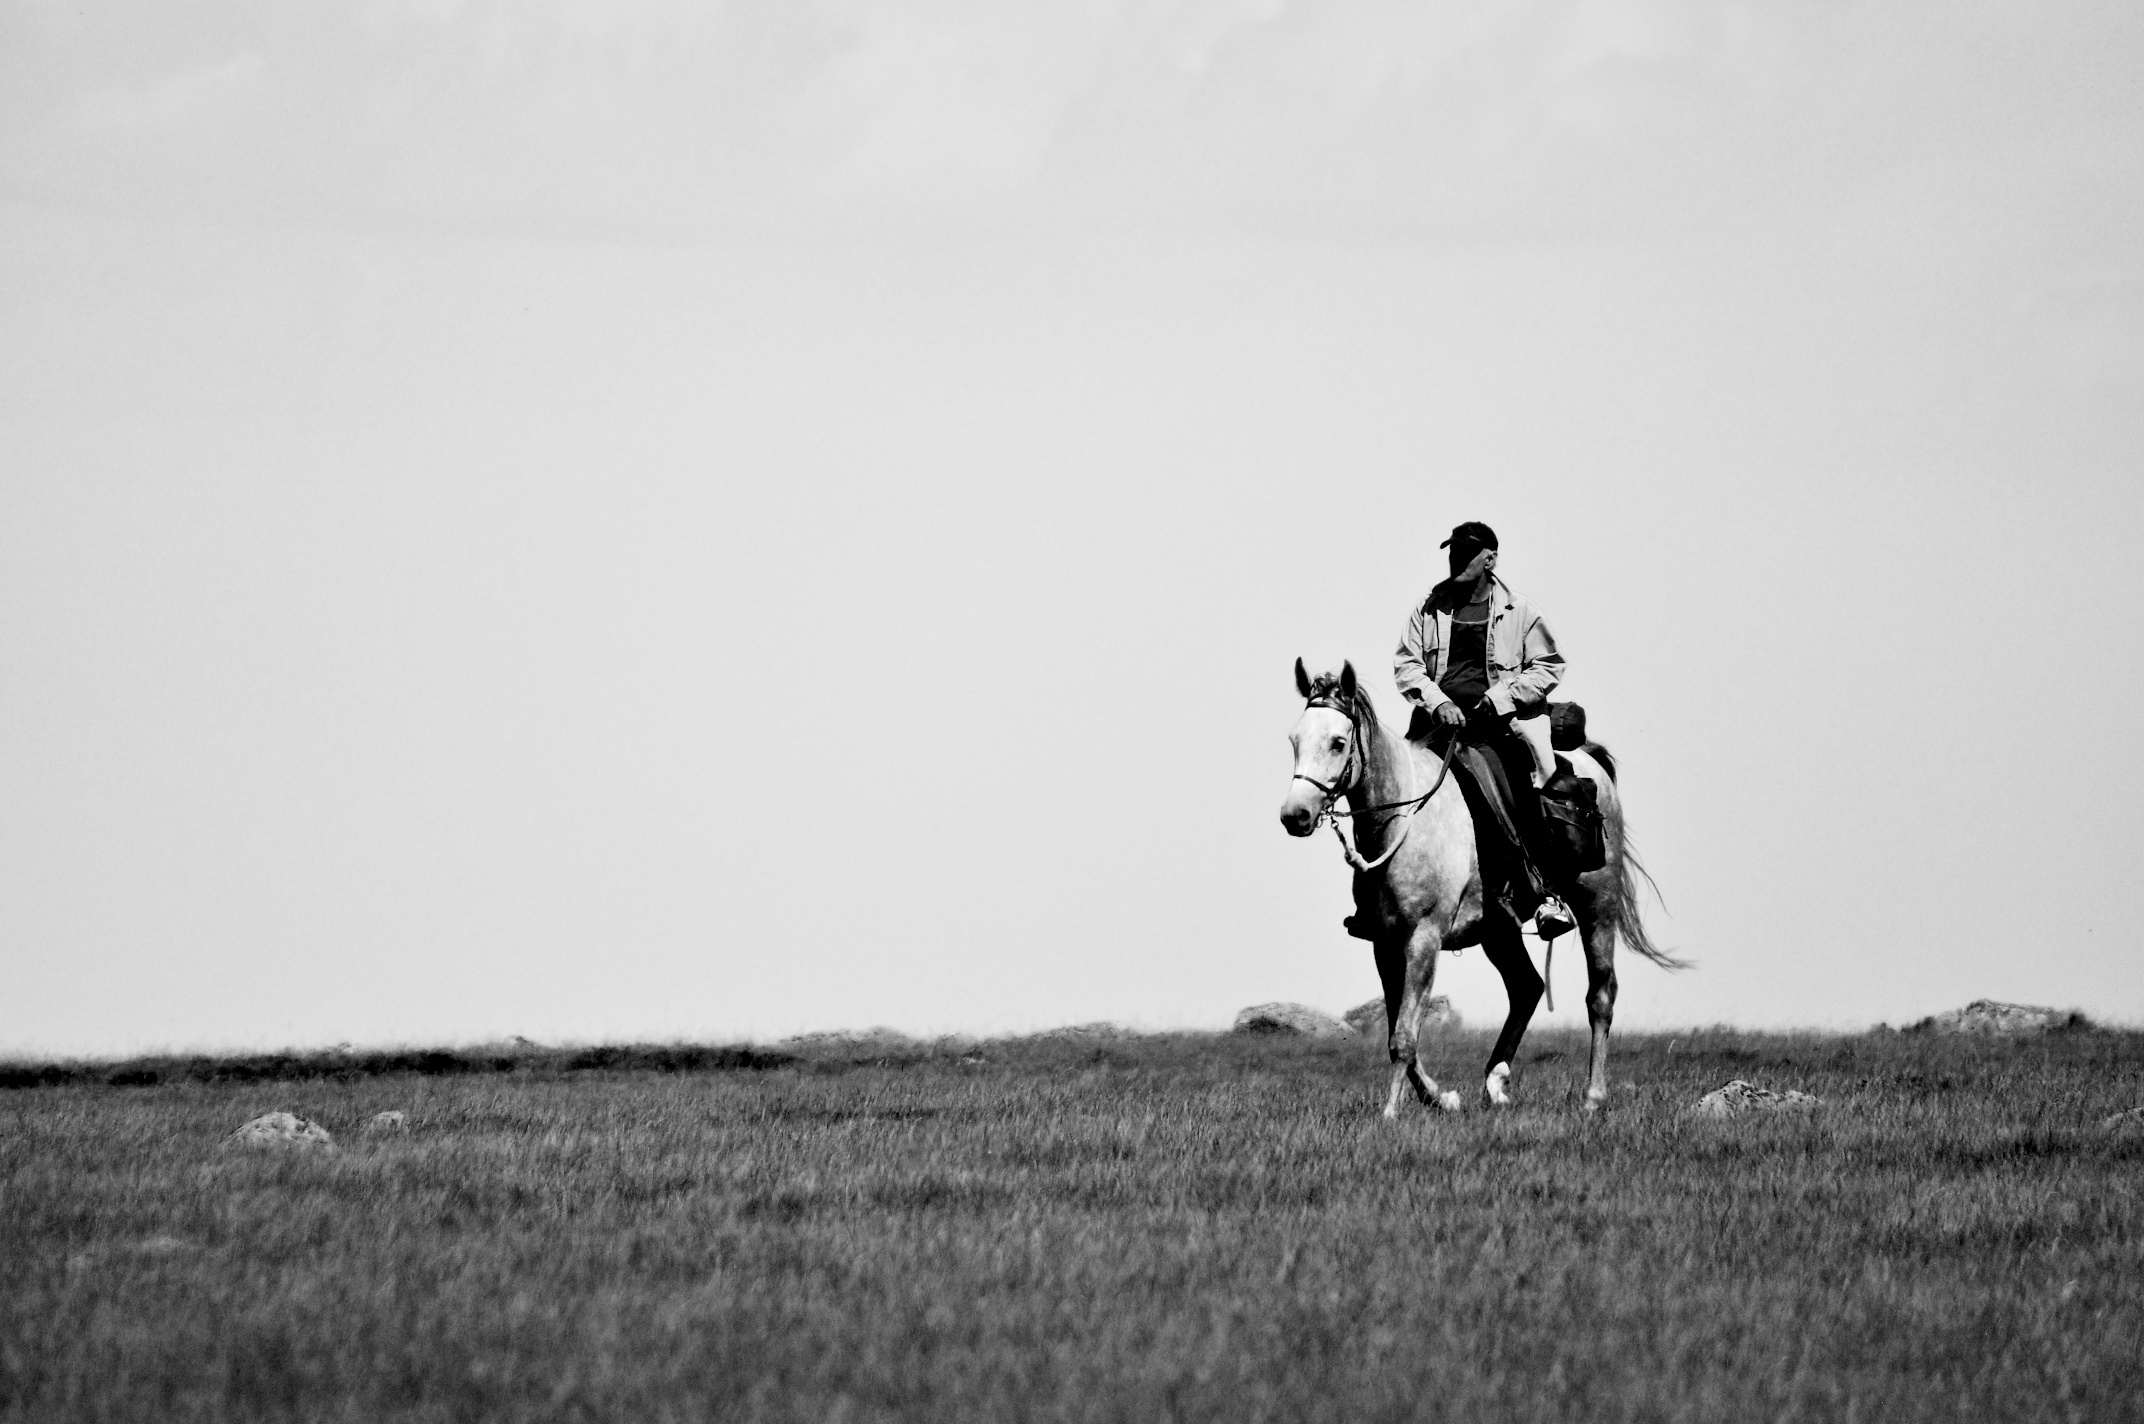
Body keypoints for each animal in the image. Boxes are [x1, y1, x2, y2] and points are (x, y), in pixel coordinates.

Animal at [1269, 660, 1672, 1115]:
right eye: (1295, 740)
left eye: (1338, 743)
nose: (1295, 815)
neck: (1403, 822)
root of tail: (1593, 765)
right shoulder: (1385, 943)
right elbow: (1395, 1030)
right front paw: (1440, 1097)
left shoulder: (1423, 938)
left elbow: (1404, 1036)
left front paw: (1391, 1112)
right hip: (1498, 930)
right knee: (1527, 987)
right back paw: (1496, 1081)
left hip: (1597, 910)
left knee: (1600, 996)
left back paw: (1593, 1096)